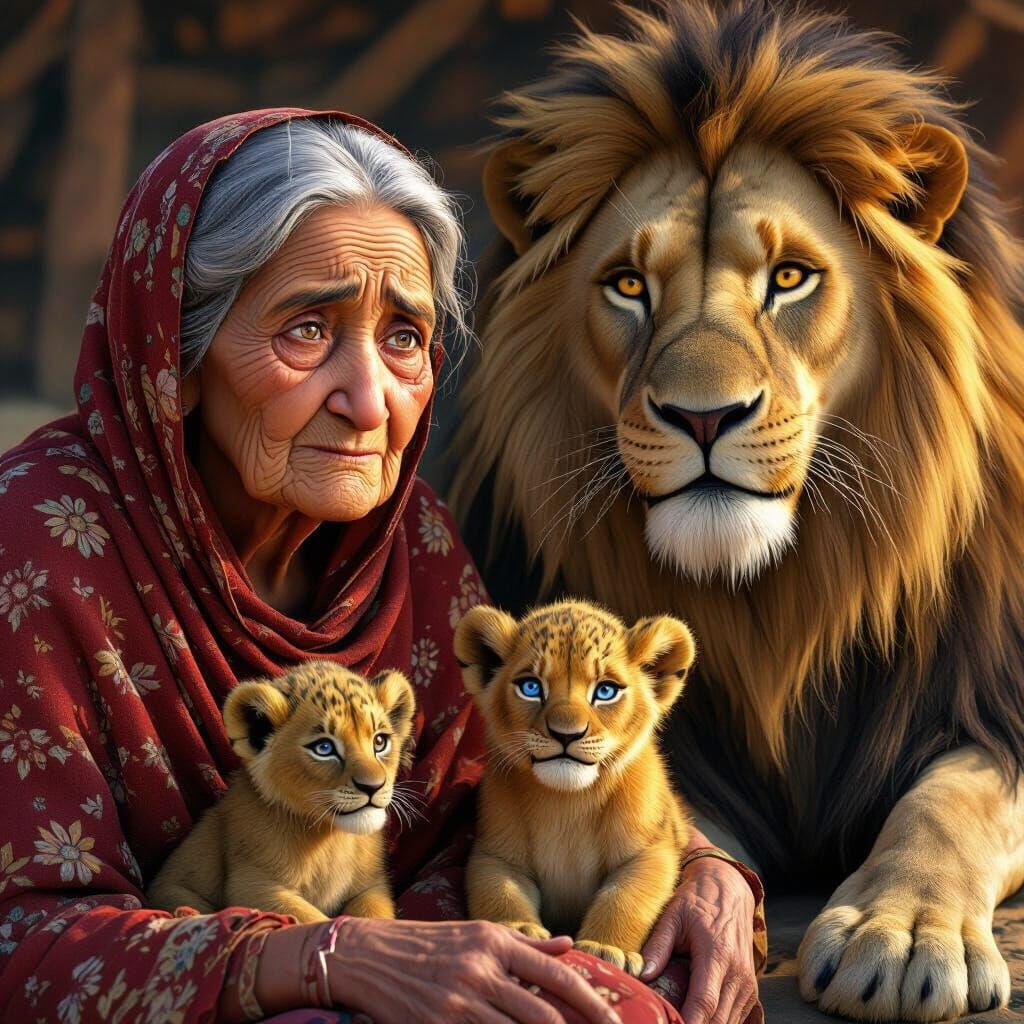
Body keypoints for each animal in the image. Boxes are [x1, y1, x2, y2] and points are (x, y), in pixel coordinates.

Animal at [146, 661, 416, 923]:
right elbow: (311, 919)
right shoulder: (251, 883)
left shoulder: (372, 886)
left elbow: (375, 917)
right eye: (324, 747)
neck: (329, 839)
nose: (373, 786)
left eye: (379, 742)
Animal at [455, 599, 694, 976]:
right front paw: (518, 929)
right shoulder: (495, 855)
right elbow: (501, 891)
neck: (568, 803)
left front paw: (606, 949)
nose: (566, 734)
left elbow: (625, 897)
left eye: (606, 691)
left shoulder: (652, 849)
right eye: (531, 687)